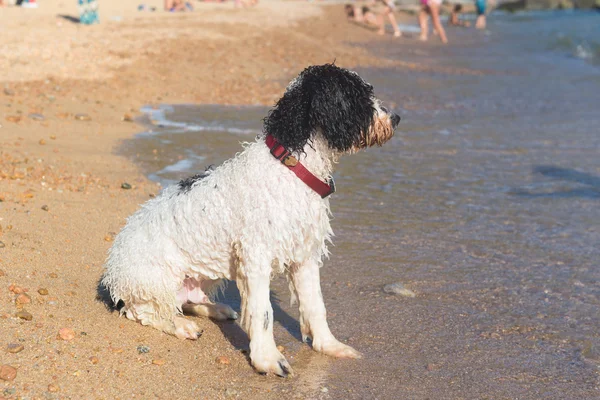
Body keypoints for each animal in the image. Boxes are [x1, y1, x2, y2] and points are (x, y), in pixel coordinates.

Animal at [102, 63, 404, 376]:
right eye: (357, 97)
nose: (395, 118)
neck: (291, 167)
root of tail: (113, 275)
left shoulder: (304, 255)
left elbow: (315, 305)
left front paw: (329, 346)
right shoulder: (256, 258)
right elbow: (263, 313)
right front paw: (268, 359)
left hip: (204, 274)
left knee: (186, 301)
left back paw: (216, 309)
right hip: (157, 278)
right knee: (145, 312)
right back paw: (182, 326)